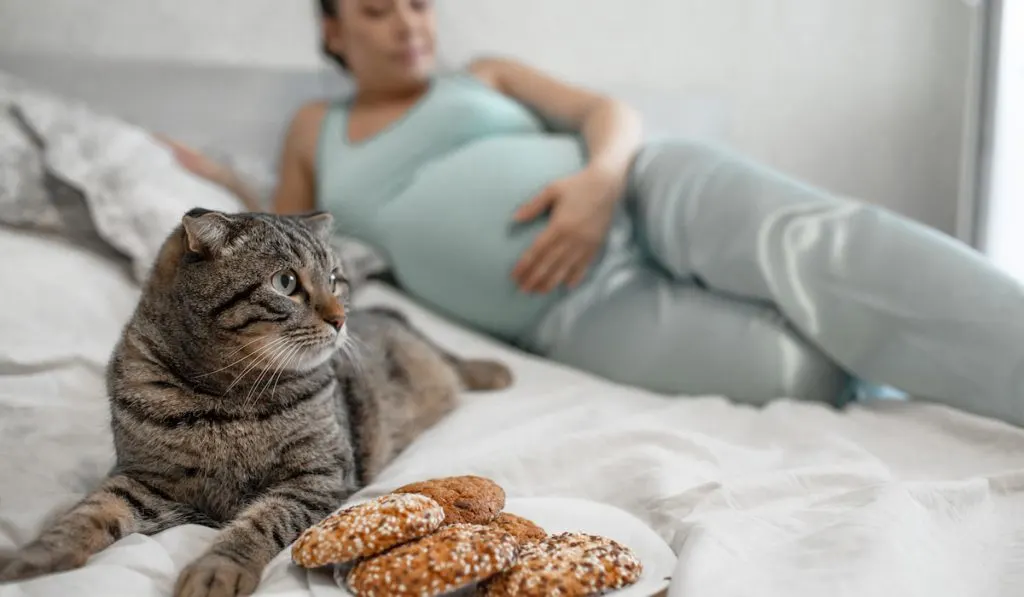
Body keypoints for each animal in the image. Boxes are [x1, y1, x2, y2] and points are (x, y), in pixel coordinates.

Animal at [0, 208, 512, 597]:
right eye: (286, 282)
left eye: (335, 279)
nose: (341, 319)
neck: (227, 399)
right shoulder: (146, 481)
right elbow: (88, 513)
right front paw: (37, 554)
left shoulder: (316, 477)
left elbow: (259, 523)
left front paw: (217, 569)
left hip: (416, 346)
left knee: (448, 356)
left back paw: (494, 370)